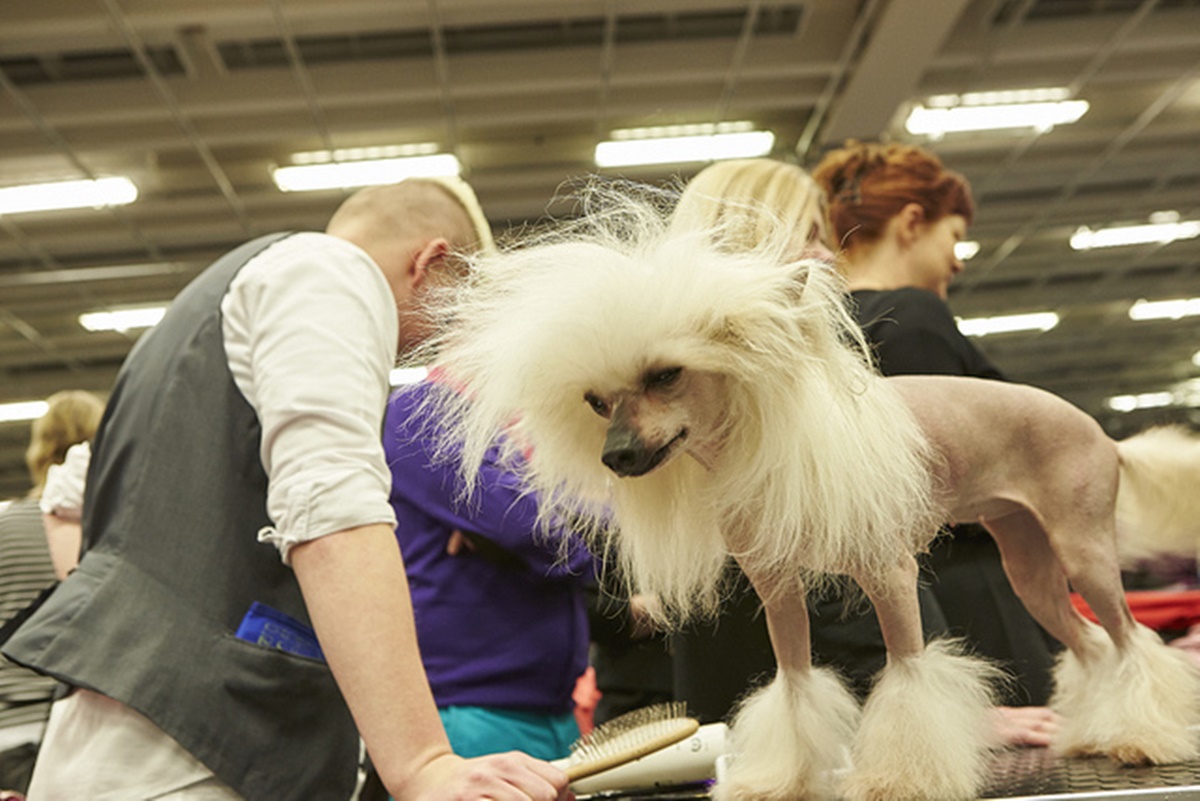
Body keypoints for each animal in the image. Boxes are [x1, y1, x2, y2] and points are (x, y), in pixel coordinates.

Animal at [420, 190, 1200, 796]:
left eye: (667, 375)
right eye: (595, 400)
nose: (614, 456)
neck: (756, 446)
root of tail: (1105, 437)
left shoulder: (890, 576)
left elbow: (909, 677)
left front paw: (900, 777)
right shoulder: (778, 588)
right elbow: (795, 687)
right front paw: (781, 777)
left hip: (1082, 550)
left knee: (1130, 640)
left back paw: (1145, 737)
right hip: (1030, 563)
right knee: (1093, 646)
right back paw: (1097, 734)